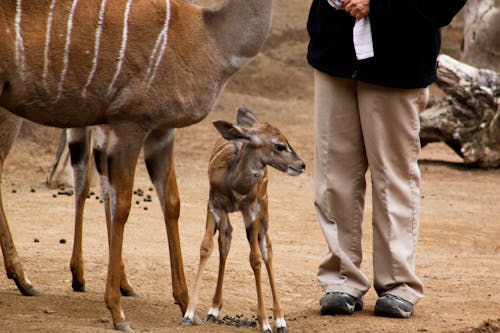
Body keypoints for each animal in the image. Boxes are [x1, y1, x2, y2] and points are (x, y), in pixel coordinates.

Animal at [0, 0, 274, 330]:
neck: (208, 37)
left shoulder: (161, 131)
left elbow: (171, 203)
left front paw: (185, 304)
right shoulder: (129, 123)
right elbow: (121, 205)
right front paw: (117, 310)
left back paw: (28, 280)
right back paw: (24, 278)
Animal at [184, 107, 304, 332]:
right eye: (280, 145)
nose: (302, 165)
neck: (235, 183)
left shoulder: (251, 210)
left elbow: (255, 258)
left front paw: (265, 322)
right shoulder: (214, 204)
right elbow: (206, 247)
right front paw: (189, 314)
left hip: (264, 208)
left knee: (266, 249)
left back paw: (280, 320)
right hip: (229, 214)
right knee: (226, 239)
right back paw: (214, 309)